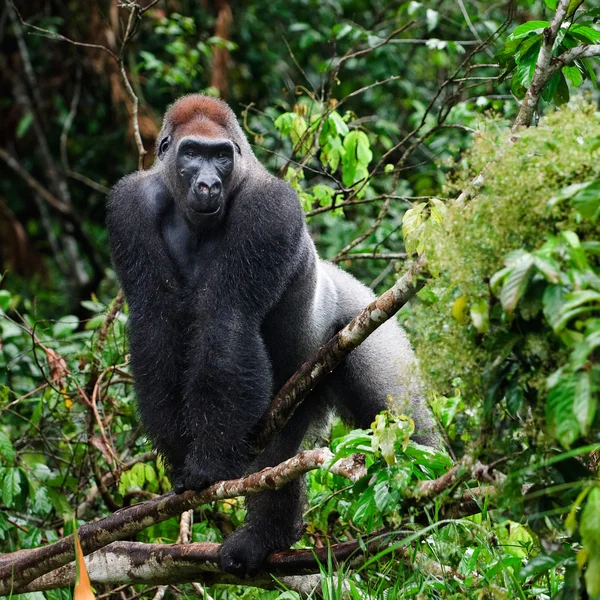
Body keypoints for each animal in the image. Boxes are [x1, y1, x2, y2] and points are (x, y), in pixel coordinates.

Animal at [106, 96, 436, 580]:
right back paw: (265, 539)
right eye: (191, 153)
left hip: (366, 322)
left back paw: (435, 506)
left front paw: (205, 463)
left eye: (221, 156)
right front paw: (181, 457)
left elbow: (227, 321)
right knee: (279, 458)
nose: (208, 184)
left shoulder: (271, 208)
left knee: (399, 417)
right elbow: (155, 325)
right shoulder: (129, 206)